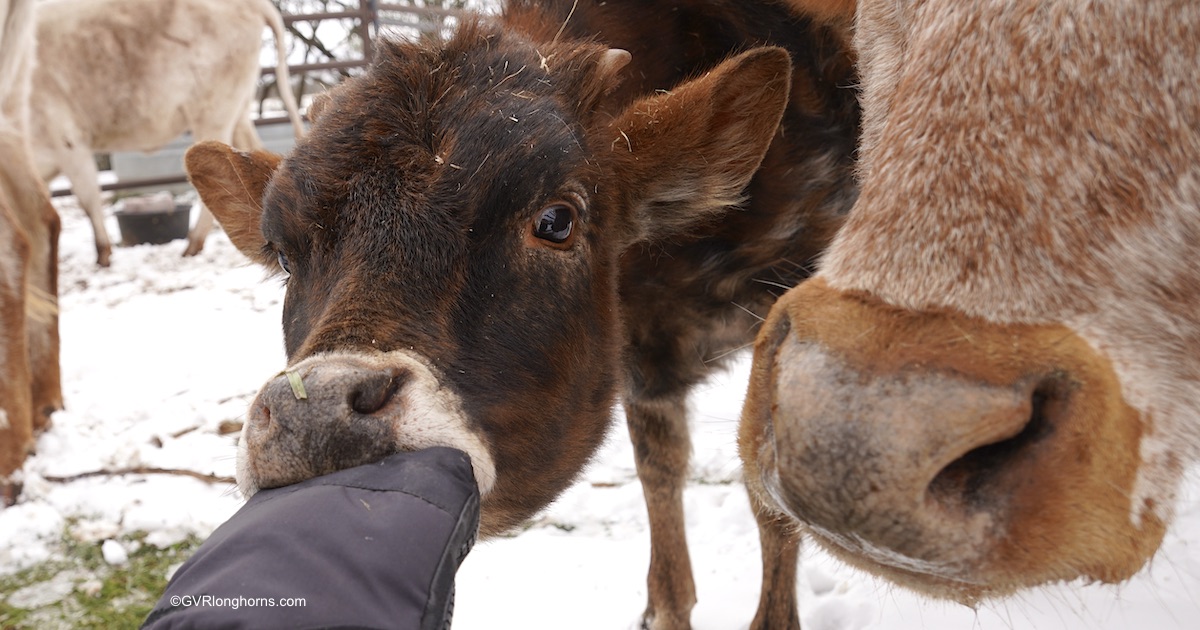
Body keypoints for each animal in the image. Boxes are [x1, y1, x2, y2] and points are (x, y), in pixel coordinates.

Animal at [29, 0, 304, 266]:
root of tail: (256, 4)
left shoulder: (69, 142)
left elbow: (88, 200)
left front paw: (103, 255)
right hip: (239, 112)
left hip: (214, 113)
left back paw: (193, 244)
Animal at [187, 2, 859, 624]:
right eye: (283, 254)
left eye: (556, 221)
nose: (315, 419)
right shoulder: (639, 361)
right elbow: (659, 472)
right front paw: (665, 603)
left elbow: (767, 489)